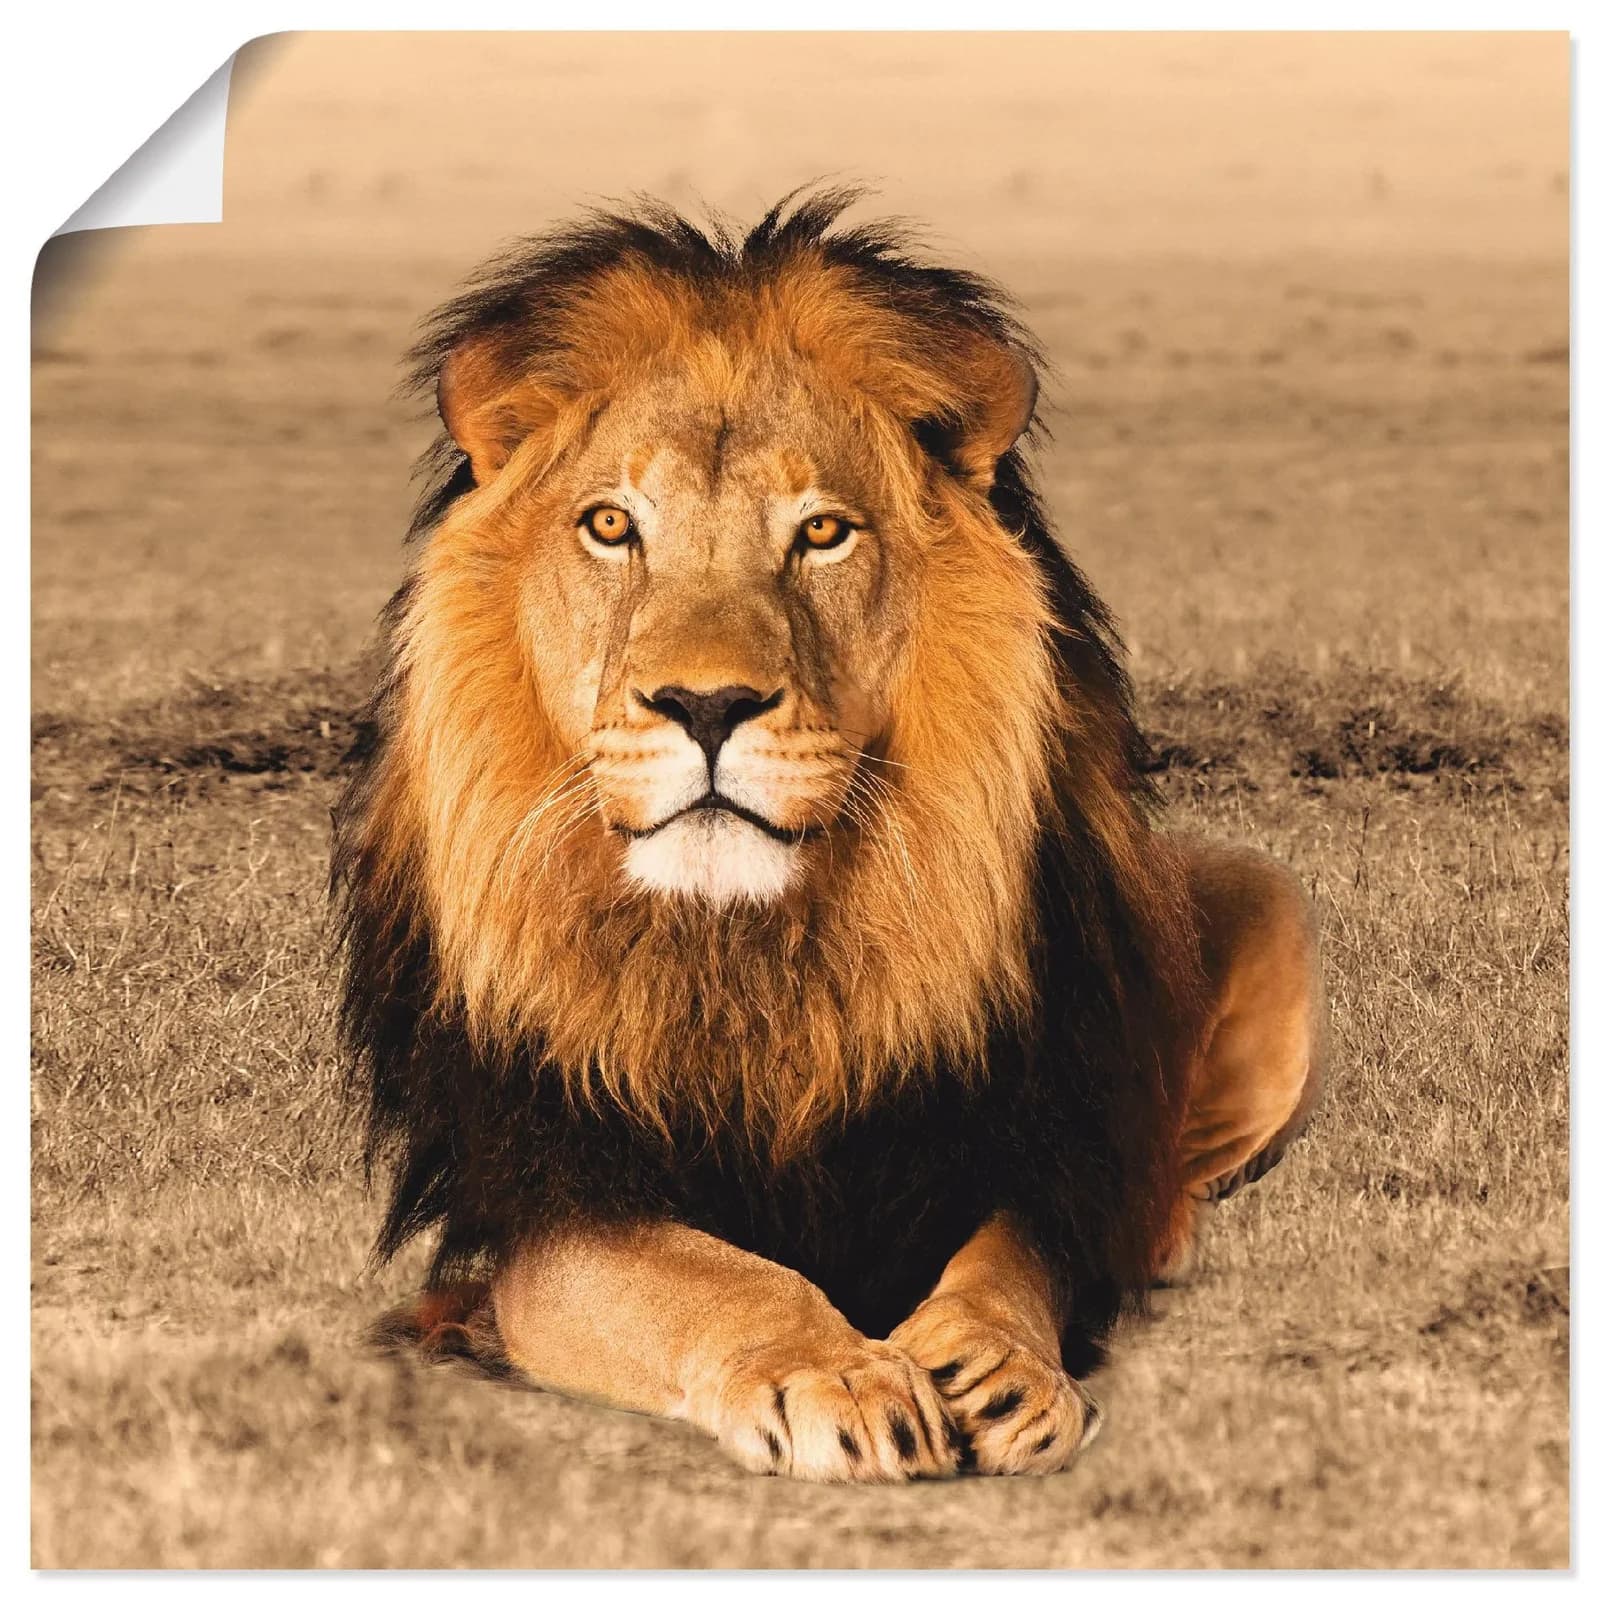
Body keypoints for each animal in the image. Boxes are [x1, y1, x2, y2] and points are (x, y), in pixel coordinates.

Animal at [333, 188, 1325, 1483]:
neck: (750, 950)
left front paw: (994, 1364)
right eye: (610, 525)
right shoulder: (551, 1195)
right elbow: (712, 1278)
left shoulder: (1014, 1137)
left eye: (821, 533)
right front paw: (841, 1373)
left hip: (1265, 898)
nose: (706, 705)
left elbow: (1011, 1259)